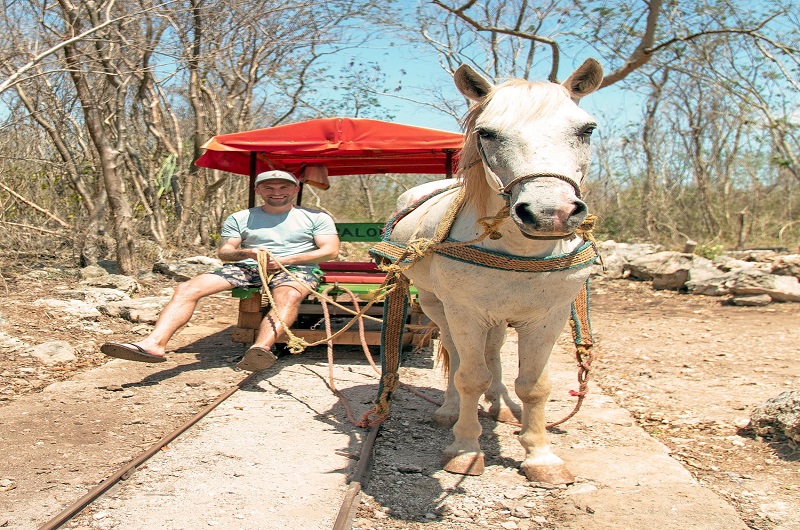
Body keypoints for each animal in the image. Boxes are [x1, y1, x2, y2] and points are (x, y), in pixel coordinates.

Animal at [386, 58, 600, 482]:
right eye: (486, 133)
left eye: (586, 129)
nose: (550, 213)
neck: (521, 251)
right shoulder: (466, 312)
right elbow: (470, 376)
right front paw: (465, 447)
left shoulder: (547, 317)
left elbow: (534, 385)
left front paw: (540, 456)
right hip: (437, 305)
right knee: (456, 353)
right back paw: (450, 410)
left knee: (496, 352)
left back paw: (502, 406)